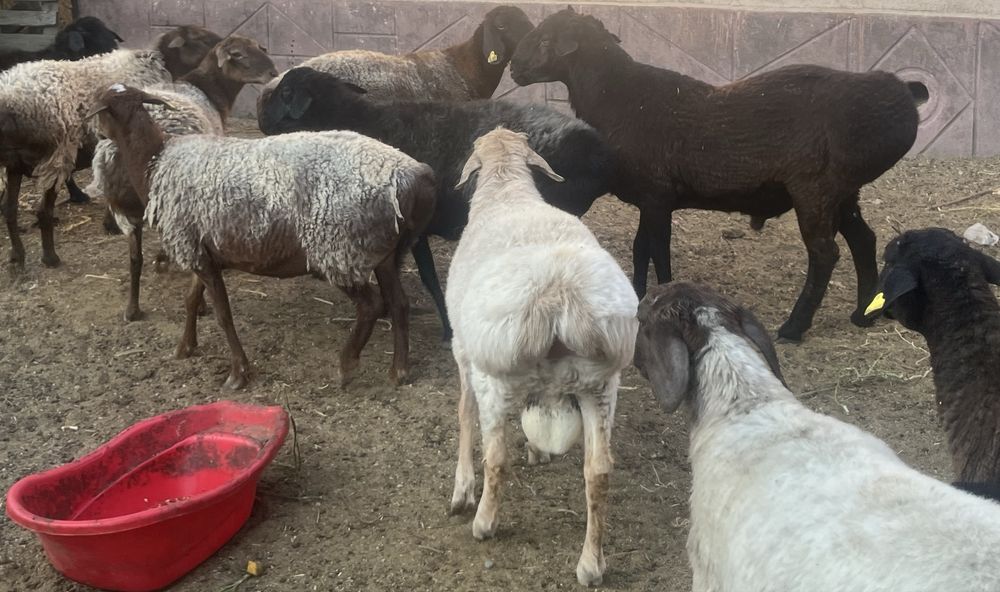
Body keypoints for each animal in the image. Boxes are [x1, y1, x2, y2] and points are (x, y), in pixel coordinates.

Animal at [0, 49, 172, 269]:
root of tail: (10, 96)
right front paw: (112, 222)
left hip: (15, 162)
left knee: (9, 209)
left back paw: (17, 255)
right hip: (54, 158)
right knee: (42, 212)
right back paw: (50, 257)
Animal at [87, 35, 277, 321]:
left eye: (259, 47)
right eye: (238, 54)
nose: (273, 72)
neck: (207, 90)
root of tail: (115, 149)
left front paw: (162, 259)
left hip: (128, 209)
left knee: (135, 258)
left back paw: (132, 308)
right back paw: (201, 305)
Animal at [88, 84, 435, 390]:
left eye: (101, 110)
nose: (98, 136)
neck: (154, 160)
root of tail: (410, 174)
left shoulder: (192, 248)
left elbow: (224, 316)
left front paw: (237, 373)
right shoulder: (199, 248)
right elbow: (191, 301)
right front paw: (186, 347)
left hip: (340, 249)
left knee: (371, 306)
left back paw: (346, 365)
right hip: (381, 252)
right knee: (399, 303)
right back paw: (399, 371)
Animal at [446, 128, 637, 587]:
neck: (506, 189)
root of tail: (557, 296)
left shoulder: (462, 350)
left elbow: (463, 413)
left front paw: (462, 490)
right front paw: (539, 450)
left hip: (496, 379)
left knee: (497, 456)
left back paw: (484, 523)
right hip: (600, 386)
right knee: (599, 470)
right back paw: (591, 564)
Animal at [511, 7, 923, 343]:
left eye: (546, 39)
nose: (513, 68)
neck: (617, 97)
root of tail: (901, 96)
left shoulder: (657, 197)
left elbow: (658, 251)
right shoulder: (651, 197)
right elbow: (641, 249)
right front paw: (637, 293)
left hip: (815, 190)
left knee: (825, 254)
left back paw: (794, 327)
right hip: (843, 190)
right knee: (864, 240)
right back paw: (863, 314)